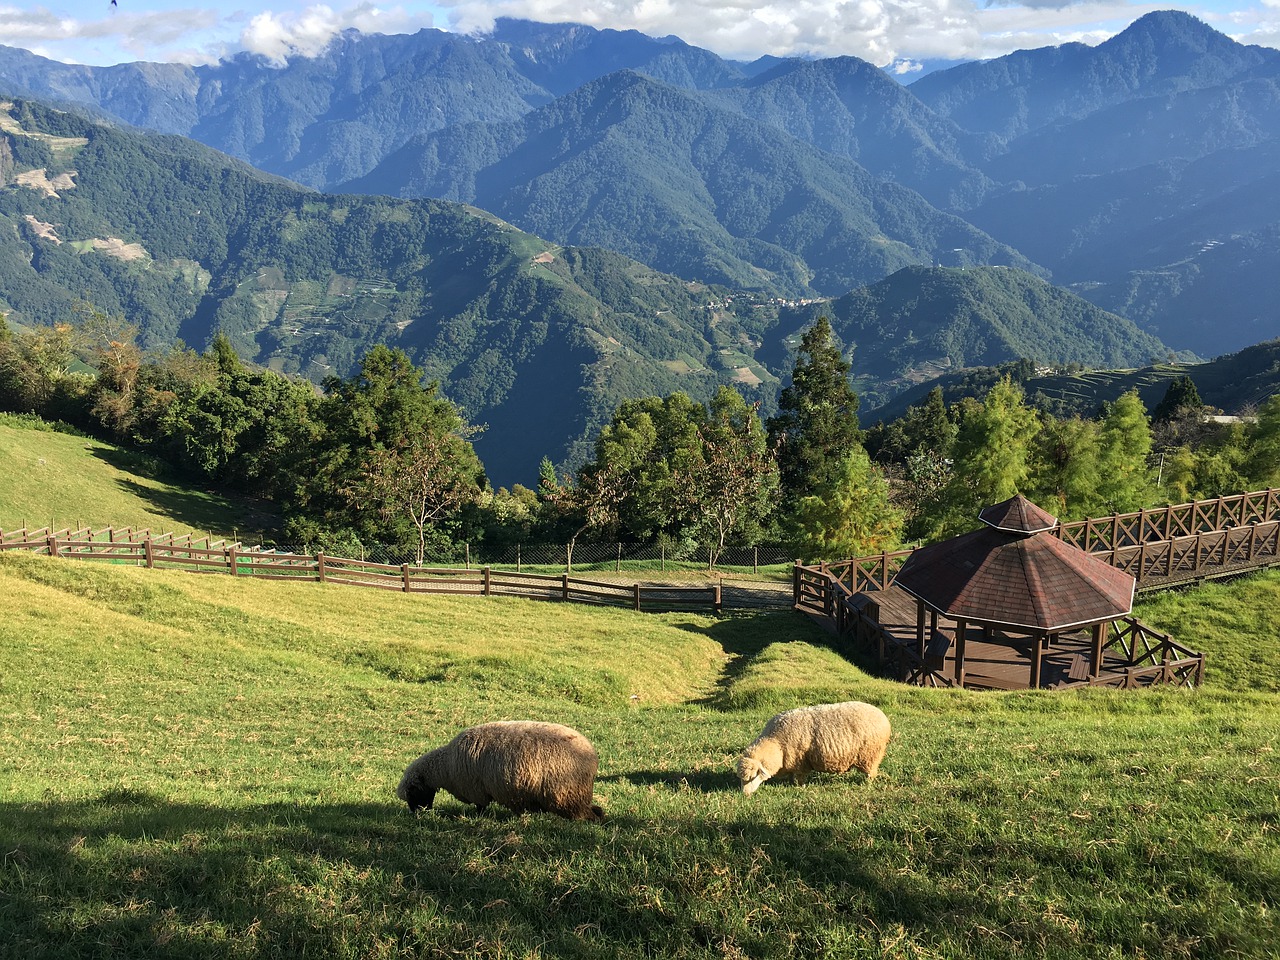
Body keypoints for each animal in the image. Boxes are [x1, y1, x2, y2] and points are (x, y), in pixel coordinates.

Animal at [394, 727, 604, 824]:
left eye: (413, 792)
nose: (416, 814)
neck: (445, 767)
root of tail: (592, 756)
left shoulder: (475, 789)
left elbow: (480, 807)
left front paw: (476, 817)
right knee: (596, 810)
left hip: (567, 795)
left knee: (585, 814)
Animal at [737, 701, 896, 798]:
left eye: (752, 777)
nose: (744, 795)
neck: (776, 743)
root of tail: (883, 717)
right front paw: (791, 782)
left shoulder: (800, 762)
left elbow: (800, 777)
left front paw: (800, 787)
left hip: (870, 754)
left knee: (871, 772)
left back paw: (866, 784)